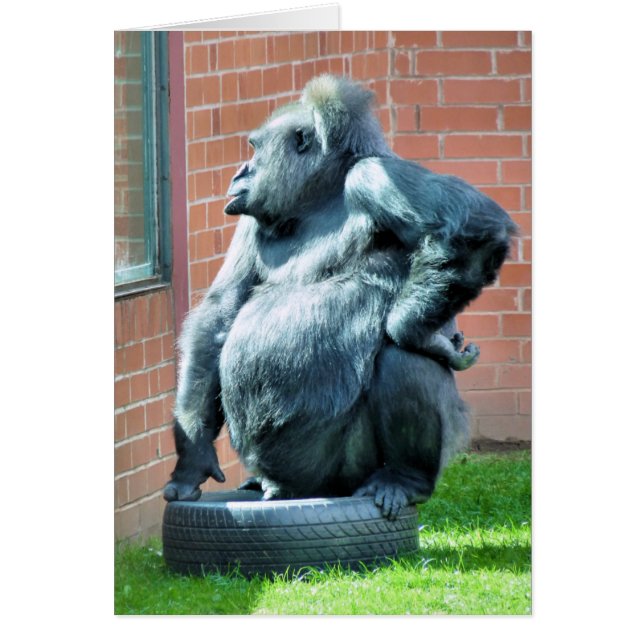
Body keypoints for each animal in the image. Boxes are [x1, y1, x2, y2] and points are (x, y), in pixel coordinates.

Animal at [163, 75, 518, 520]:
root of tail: (294, 489)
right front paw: (192, 456)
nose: (240, 172)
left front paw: (419, 333)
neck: (320, 196)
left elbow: (475, 229)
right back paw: (262, 481)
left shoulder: (375, 176)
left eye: (255, 148)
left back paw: (404, 478)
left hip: (345, 474)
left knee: (401, 359)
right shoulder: (251, 218)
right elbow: (220, 314)